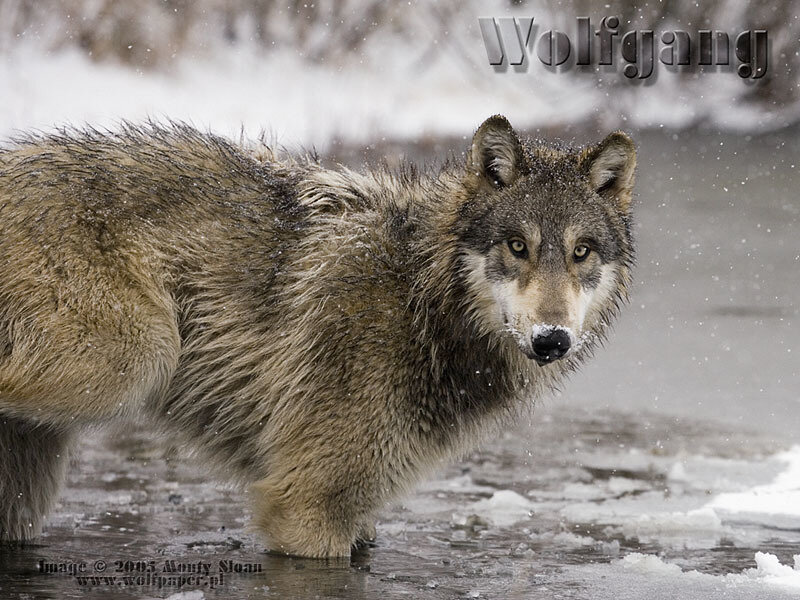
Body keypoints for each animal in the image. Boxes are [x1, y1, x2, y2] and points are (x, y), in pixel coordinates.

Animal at [0, 115, 635, 557]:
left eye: (581, 252)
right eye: (517, 246)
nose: (552, 339)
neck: (419, 296)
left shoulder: (360, 516)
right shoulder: (309, 508)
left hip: (31, 486)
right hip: (138, 359)